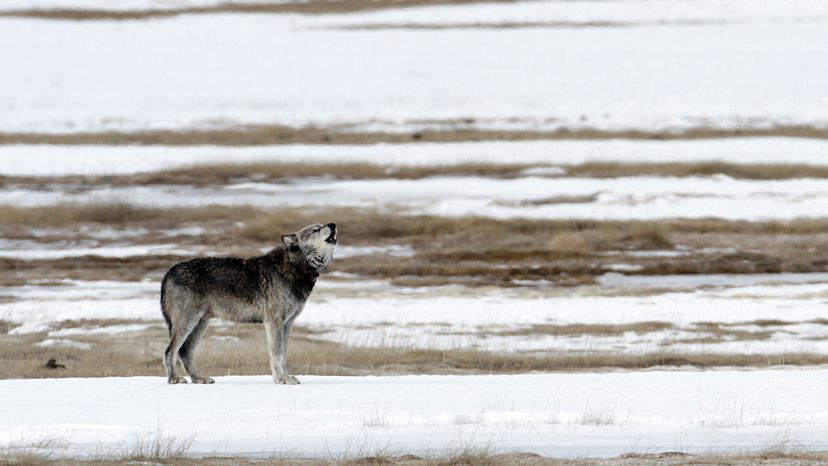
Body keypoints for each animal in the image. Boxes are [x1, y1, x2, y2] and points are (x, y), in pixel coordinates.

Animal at [162, 224, 336, 384]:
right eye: (315, 230)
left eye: (322, 225)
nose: (332, 225)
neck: (295, 267)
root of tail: (169, 271)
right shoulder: (274, 322)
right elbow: (277, 355)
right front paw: (281, 379)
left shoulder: (287, 324)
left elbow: (284, 355)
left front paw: (285, 377)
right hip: (187, 324)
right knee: (170, 351)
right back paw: (175, 379)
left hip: (200, 325)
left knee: (185, 352)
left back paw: (199, 378)